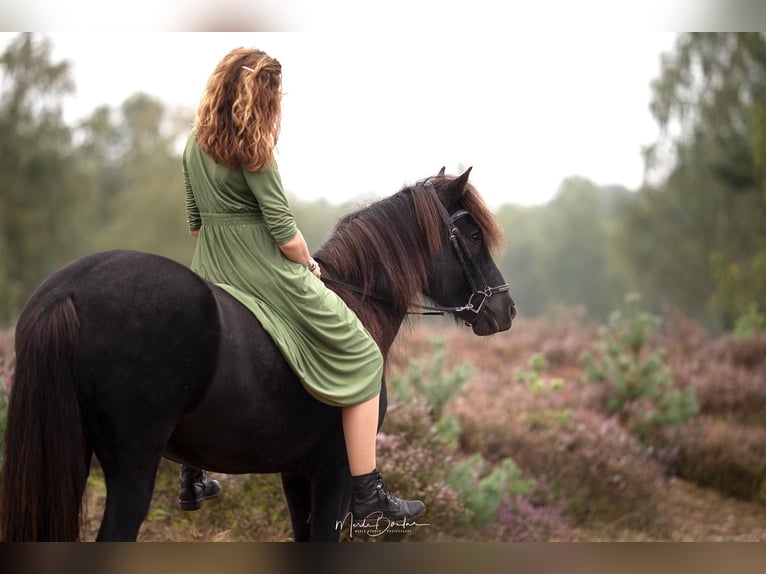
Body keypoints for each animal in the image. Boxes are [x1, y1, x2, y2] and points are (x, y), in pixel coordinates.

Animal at [0, 167, 515, 542]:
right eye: (472, 236)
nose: (505, 309)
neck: (358, 302)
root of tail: (67, 290)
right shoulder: (333, 472)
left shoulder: (296, 473)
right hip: (133, 465)